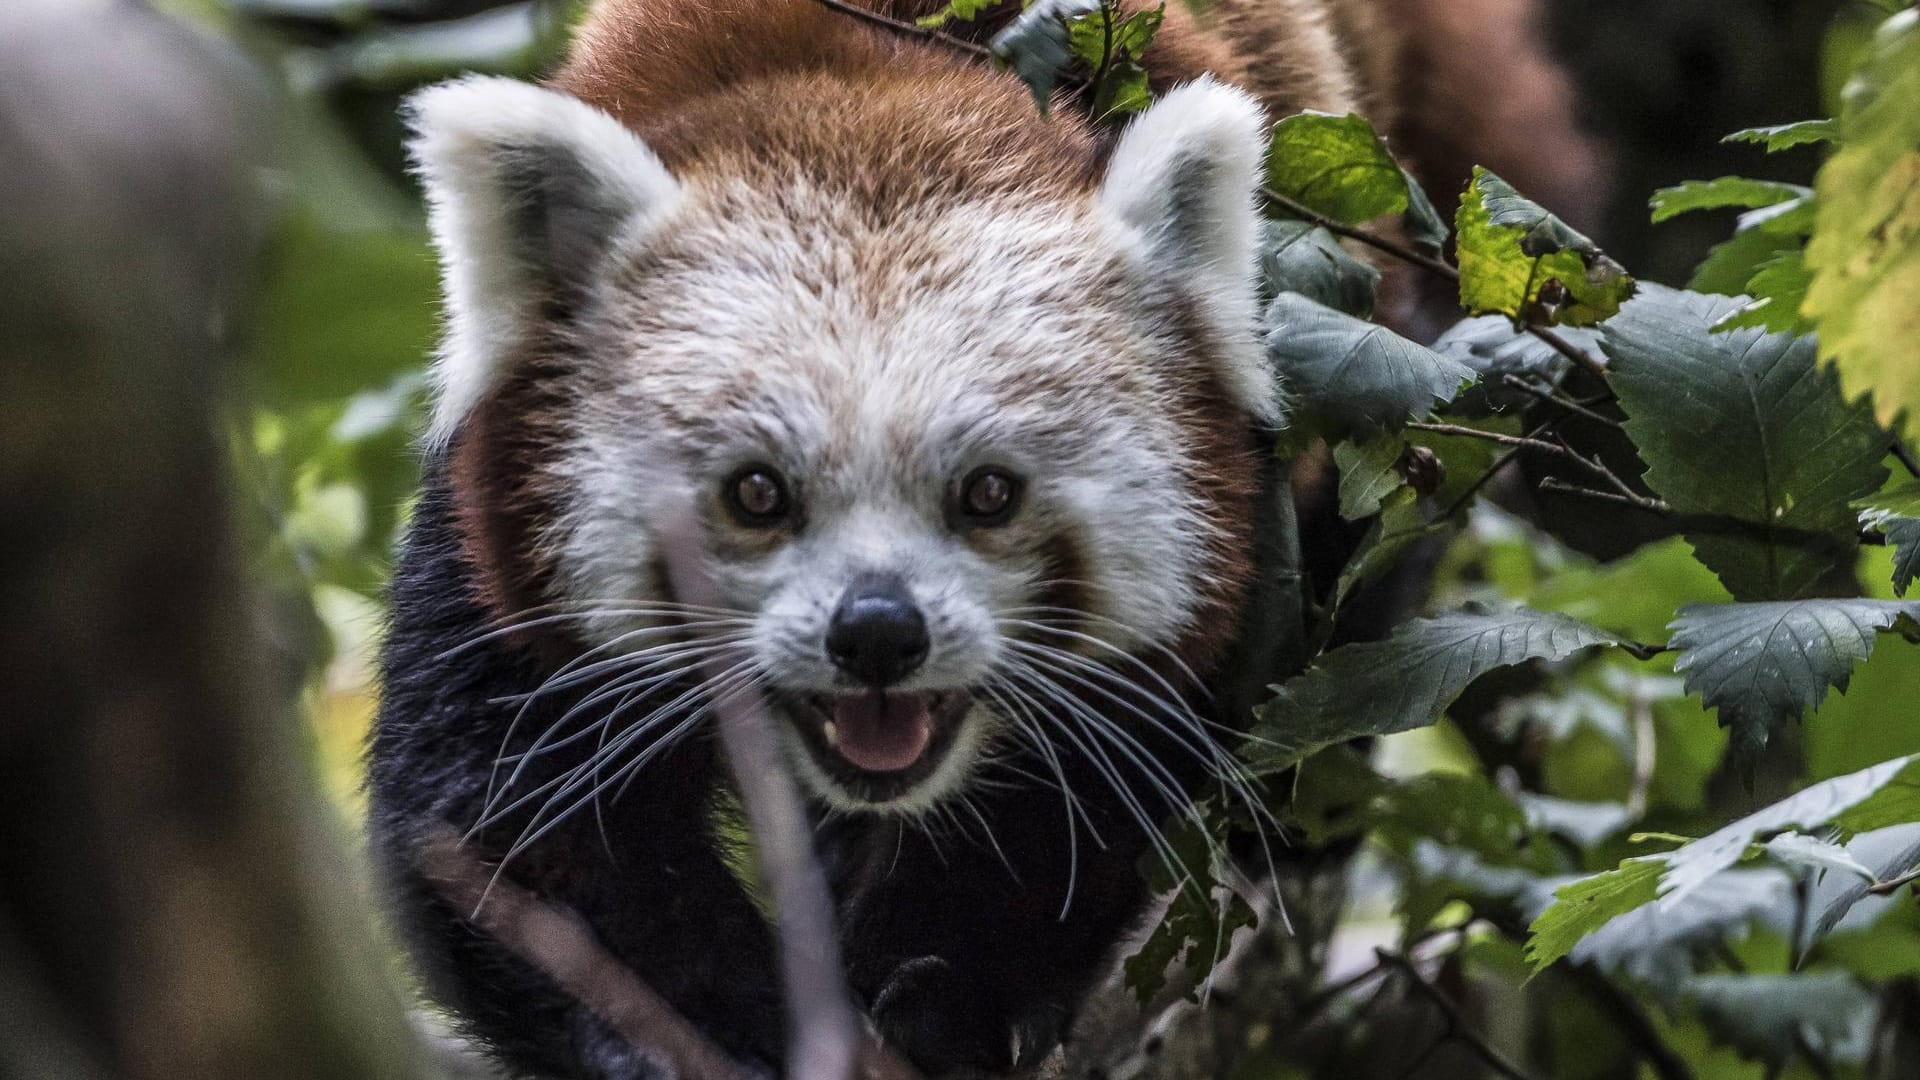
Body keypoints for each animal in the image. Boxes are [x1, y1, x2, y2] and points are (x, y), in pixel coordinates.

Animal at [366, 4, 1597, 1068]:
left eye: (989, 494)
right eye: (758, 494)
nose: (876, 633)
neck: (879, 88)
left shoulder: (1240, 506)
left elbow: (1097, 780)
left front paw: (943, 998)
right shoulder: (489, 541)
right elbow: (517, 838)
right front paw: (737, 1037)